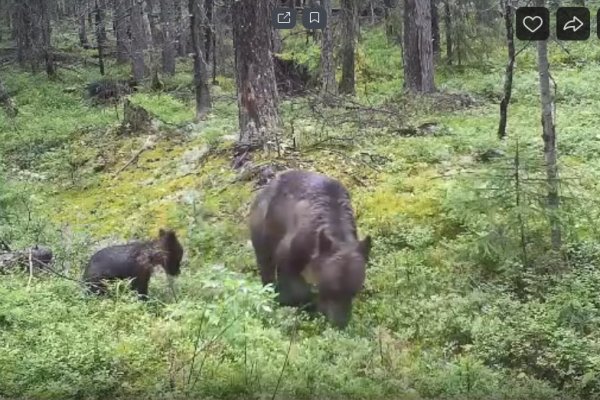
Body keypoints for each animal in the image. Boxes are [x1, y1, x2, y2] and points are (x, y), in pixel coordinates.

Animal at [248, 169, 370, 328]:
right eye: (332, 289)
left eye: (353, 292)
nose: (340, 324)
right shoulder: (292, 248)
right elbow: (293, 281)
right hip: (262, 227)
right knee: (265, 263)